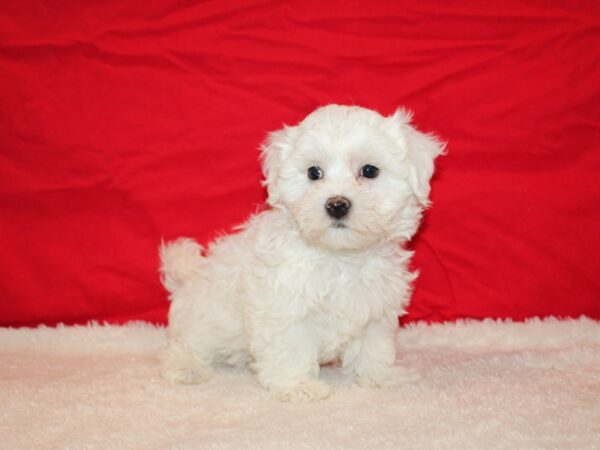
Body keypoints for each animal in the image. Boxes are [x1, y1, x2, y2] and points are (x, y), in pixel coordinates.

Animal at [162, 104, 442, 400]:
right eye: (313, 173)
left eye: (369, 170)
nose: (337, 204)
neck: (339, 257)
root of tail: (187, 278)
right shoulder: (284, 307)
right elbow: (291, 348)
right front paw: (298, 385)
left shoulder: (375, 308)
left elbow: (374, 346)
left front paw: (381, 376)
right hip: (207, 320)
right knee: (184, 345)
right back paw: (186, 368)